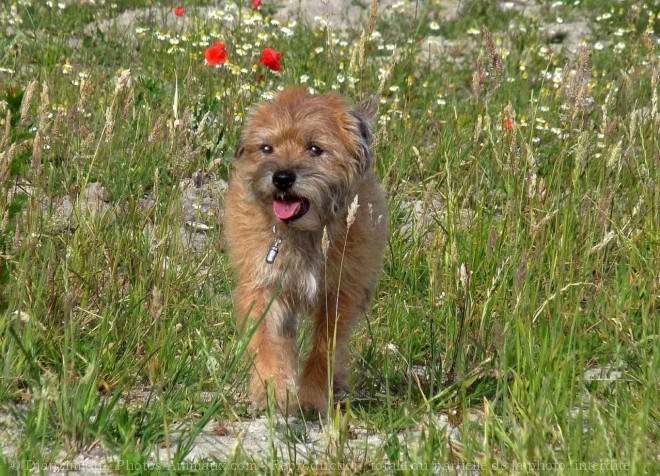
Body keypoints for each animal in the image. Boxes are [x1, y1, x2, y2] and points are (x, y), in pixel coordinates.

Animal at [224, 87, 386, 414]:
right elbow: (265, 337)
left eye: (315, 148)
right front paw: (271, 387)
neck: (306, 234)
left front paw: (311, 396)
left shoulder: (339, 295)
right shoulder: (263, 285)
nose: (282, 178)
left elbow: (325, 346)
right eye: (267, 148)